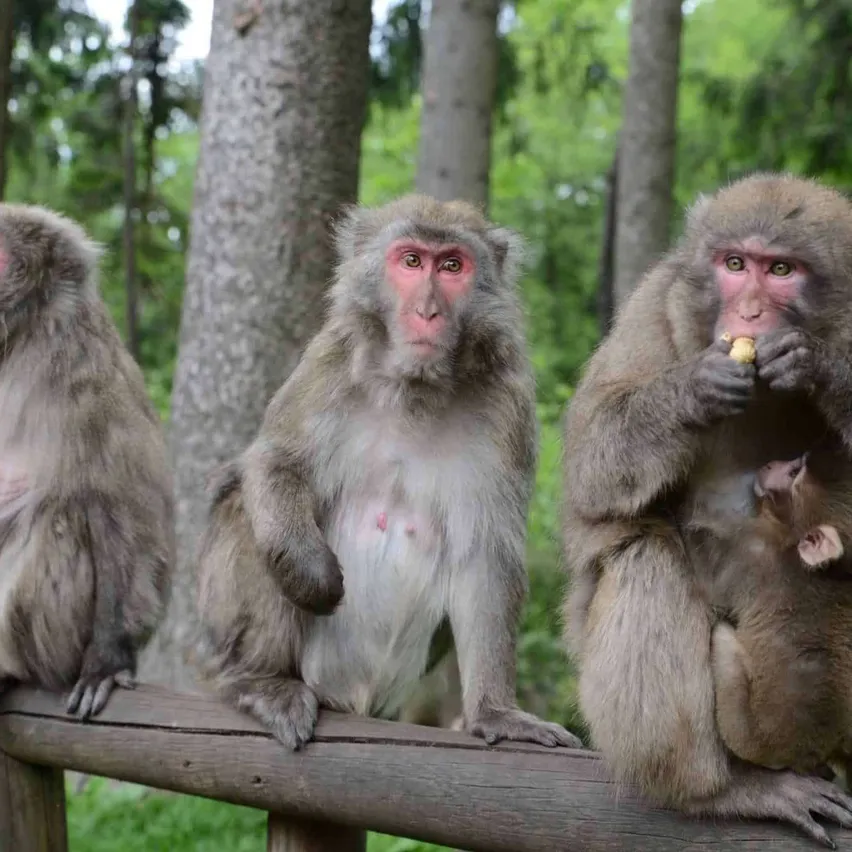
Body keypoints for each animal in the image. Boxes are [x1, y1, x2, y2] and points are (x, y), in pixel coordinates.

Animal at [195, 194, 581, 753]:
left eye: (452, 266)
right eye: (412, 261)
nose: (427, 311)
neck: (414, 388)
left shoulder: (508, 404)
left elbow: (486, 553)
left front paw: (497, 712)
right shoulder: (329, 361)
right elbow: (274, 462)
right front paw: (310, 571)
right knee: (242, 502)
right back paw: (260, 681)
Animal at [562, 173, 852, 845]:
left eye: (780, 270)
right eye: (734, 264)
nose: (747, 312)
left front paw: (816, 366)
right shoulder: (656, 303)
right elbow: (592, 460)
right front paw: (693, 389)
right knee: (647, 554)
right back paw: (717, 792)